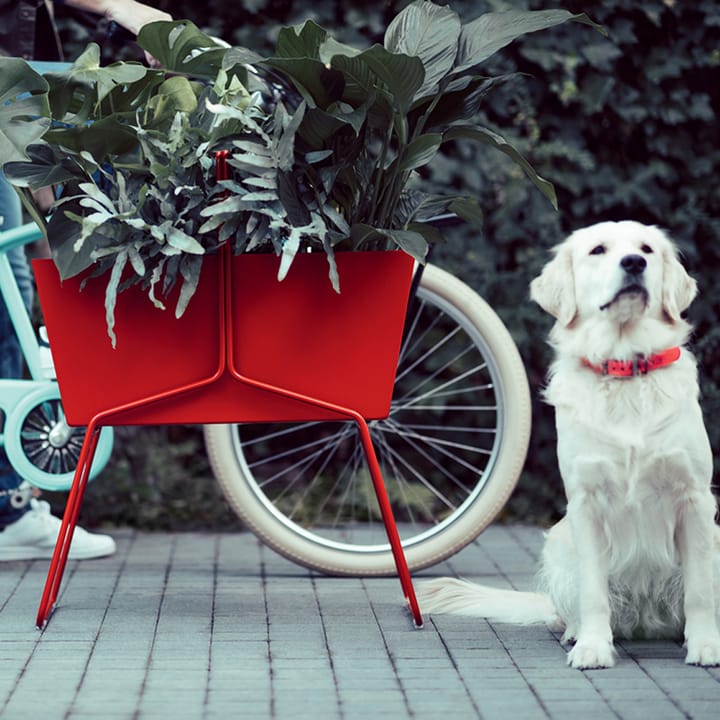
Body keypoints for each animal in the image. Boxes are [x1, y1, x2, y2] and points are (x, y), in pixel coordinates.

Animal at [420, 222, 720, 672]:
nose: (634, 263)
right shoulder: (586, 502)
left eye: (647, 249)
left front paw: (706, 645)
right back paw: (577, 633)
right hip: (560, 546)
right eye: (598, 251)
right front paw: (593, 647)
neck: (625, 368)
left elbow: (699, 589)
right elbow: (594, 593)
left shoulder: (695, 499)